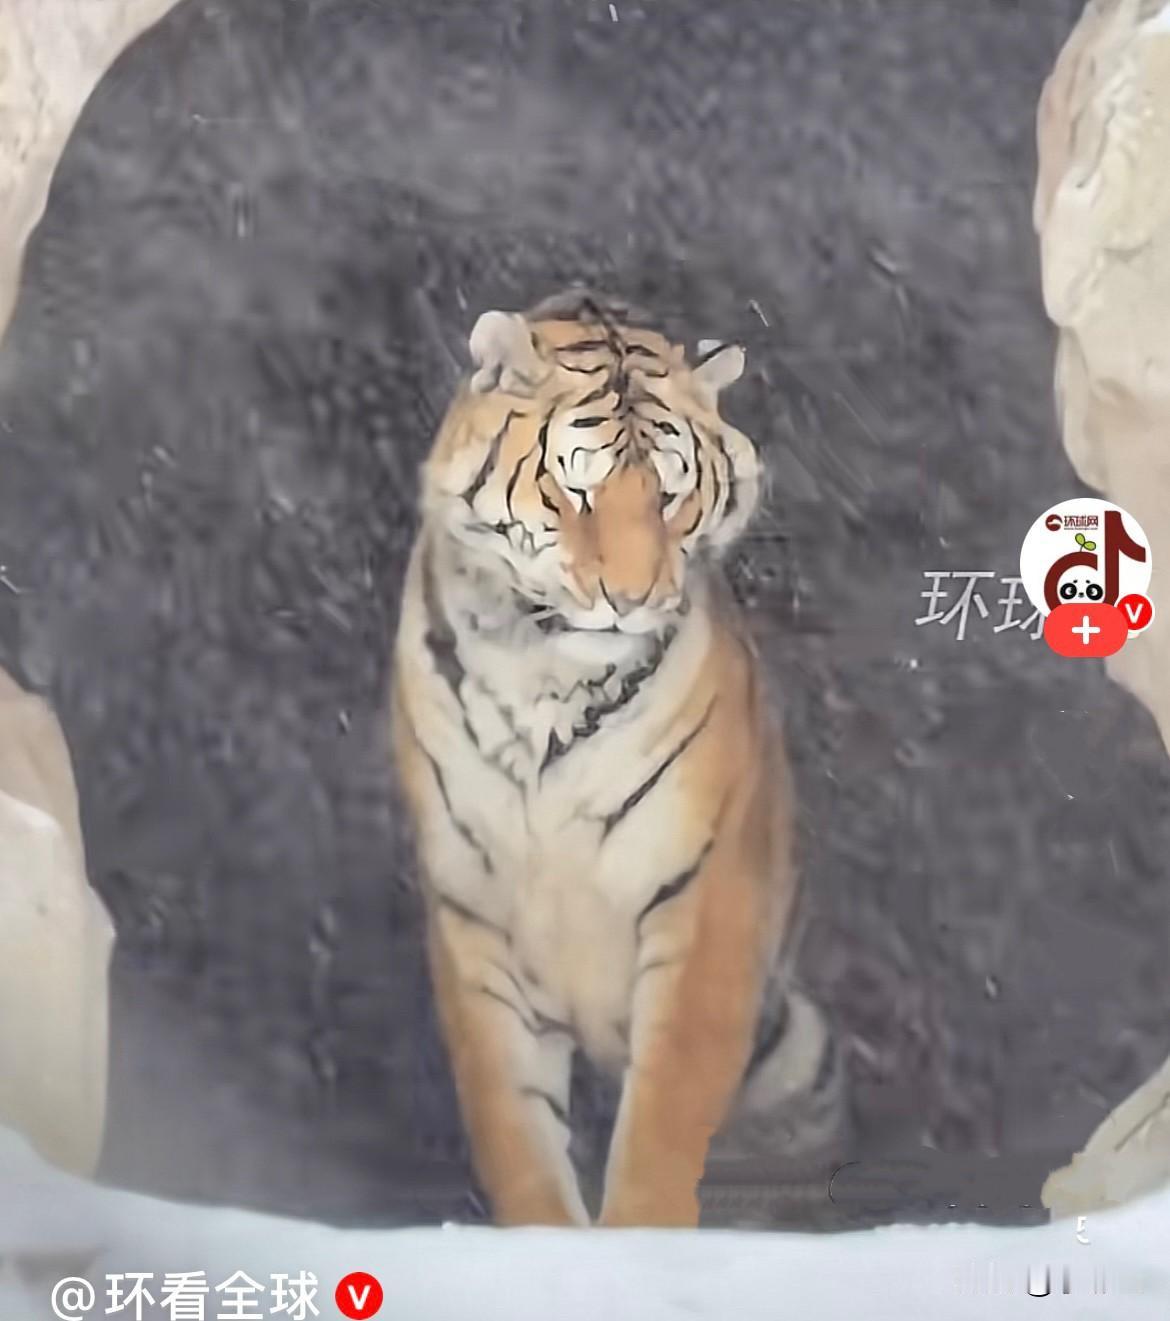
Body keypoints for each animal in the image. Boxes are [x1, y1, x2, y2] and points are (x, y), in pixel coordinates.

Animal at [391, 289, 845, 1228]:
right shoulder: (473, 918)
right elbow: (516, 1132)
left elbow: (664, 1125)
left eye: (672, 497)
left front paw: (641, 1237)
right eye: (576, 487)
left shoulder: (705, 906)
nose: (630, 598)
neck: (540, 669)